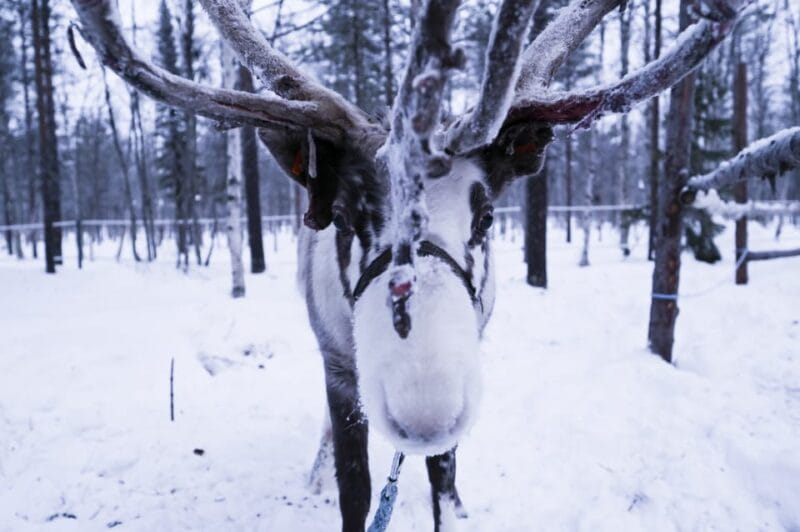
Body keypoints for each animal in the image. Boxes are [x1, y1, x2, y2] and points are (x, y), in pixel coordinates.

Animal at [69, 0, 747, 529]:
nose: (425, 406)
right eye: (344, 219)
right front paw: (335, 480)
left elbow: (444, 480)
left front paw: (454, 501)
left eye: (487, 218)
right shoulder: (341, 368)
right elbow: (356, 487)